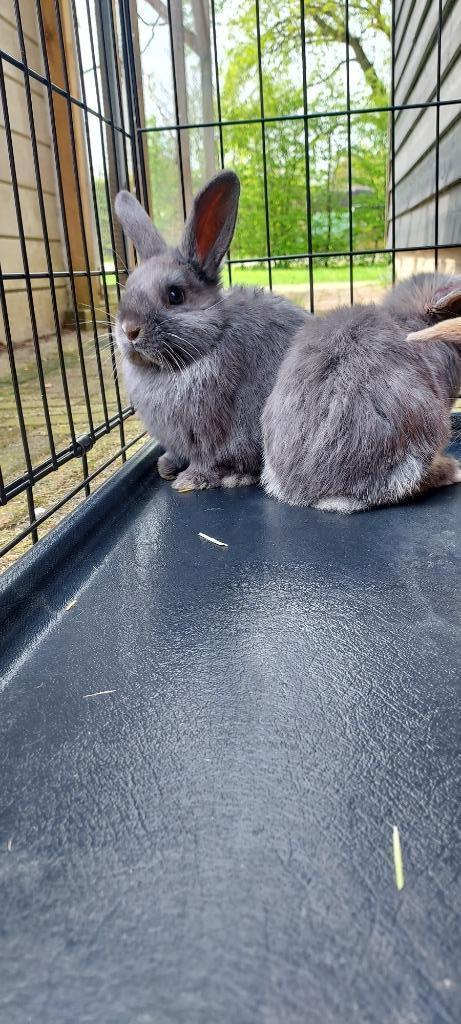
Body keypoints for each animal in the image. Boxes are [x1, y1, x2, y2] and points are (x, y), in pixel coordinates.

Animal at [113, 169, 305, 489]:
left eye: (175, 295)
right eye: (127, 290)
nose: (129, 330)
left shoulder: (214, 437)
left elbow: (210, 462)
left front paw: (188, 482)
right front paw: (166, 466)